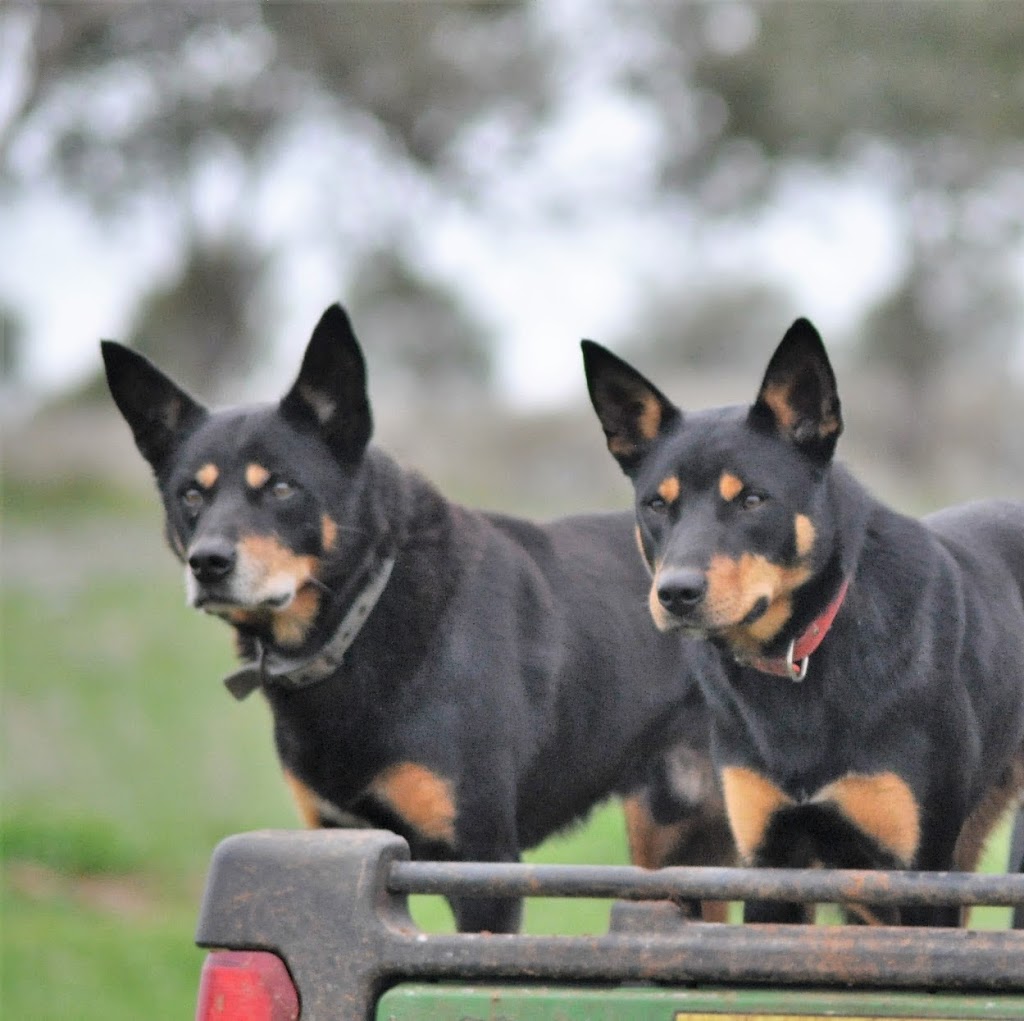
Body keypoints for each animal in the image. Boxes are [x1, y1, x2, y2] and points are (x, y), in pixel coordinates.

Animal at [101, 303, 729, 933]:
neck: (364, 613)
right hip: (675, 840)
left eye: (280, 486)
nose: (209, 563)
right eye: (190, 495)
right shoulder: (337, 840)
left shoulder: (482, 861)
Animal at [585, 319, 1024, 925]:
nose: (675, 593)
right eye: (656, 504)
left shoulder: (921, 873)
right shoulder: (773, 863)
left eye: (751, 499)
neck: (804, 651)